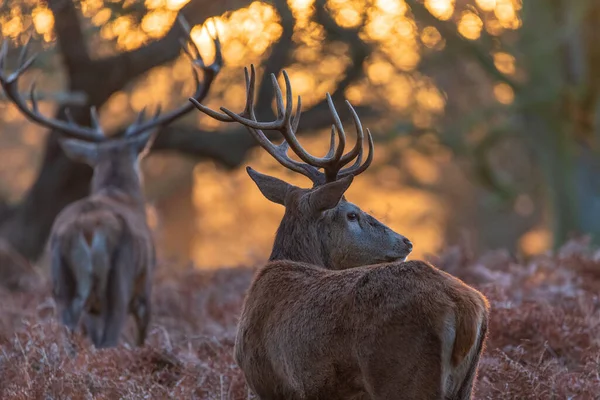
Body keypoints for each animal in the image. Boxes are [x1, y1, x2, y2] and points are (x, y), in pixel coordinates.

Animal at [192, 66, 488, 400]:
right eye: (352, 214)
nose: (406, 242)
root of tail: (467, 308)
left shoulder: (267, 383)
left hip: (403, 376)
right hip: (465, 383)